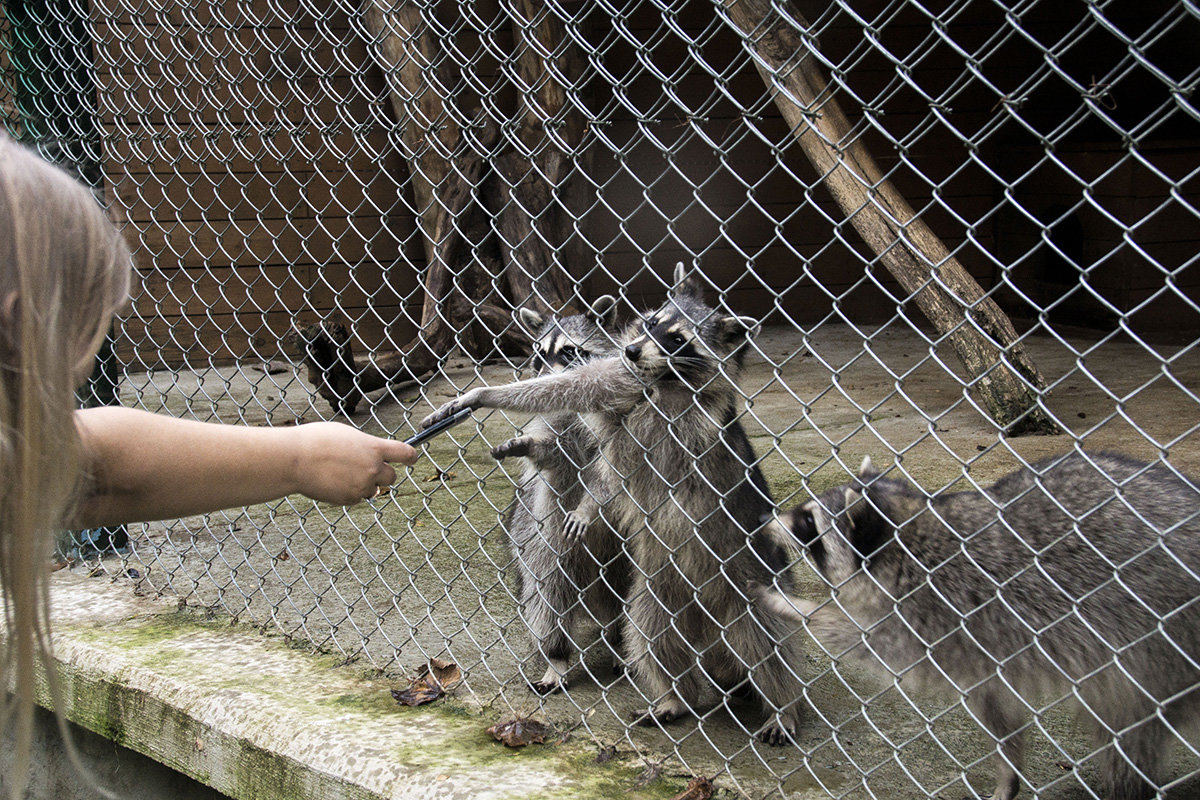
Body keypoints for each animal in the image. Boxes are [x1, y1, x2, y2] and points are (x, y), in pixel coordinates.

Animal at [492, 297, 633, 695]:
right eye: (538, 355)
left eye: (570, 351)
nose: (541, 377)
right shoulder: (557, 424)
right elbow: (553, 454)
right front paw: (532, 447)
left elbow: (612, 472)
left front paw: (589, 505)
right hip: (541, 544)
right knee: (547, 598)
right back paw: (556, 656)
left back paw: (621, 644)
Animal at [753, 453, 1200, 796]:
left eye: (807, 522)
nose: (763, 521)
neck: (904, 531)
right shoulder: (980, 646)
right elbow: (995, 705)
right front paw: (1009, 772)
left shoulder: (934, 612)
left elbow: (863, 637)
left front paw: (794, 605)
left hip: (1153, 648)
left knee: (1126, 734)